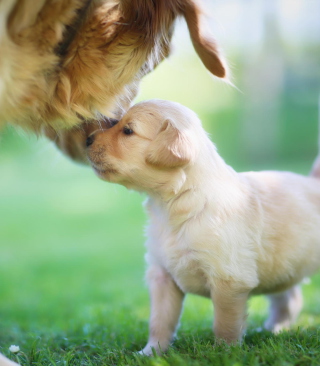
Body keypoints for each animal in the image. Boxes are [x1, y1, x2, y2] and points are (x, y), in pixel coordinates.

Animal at [85, 99, 320, 354]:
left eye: (128, 131)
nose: (86, 139)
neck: (176, 203)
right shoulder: (162, 275)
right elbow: (159, 321)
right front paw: (151, 351)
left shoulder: (229, 280)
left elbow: (225, 324)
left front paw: (225, 353)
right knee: (289, 299)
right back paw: (273, 329)